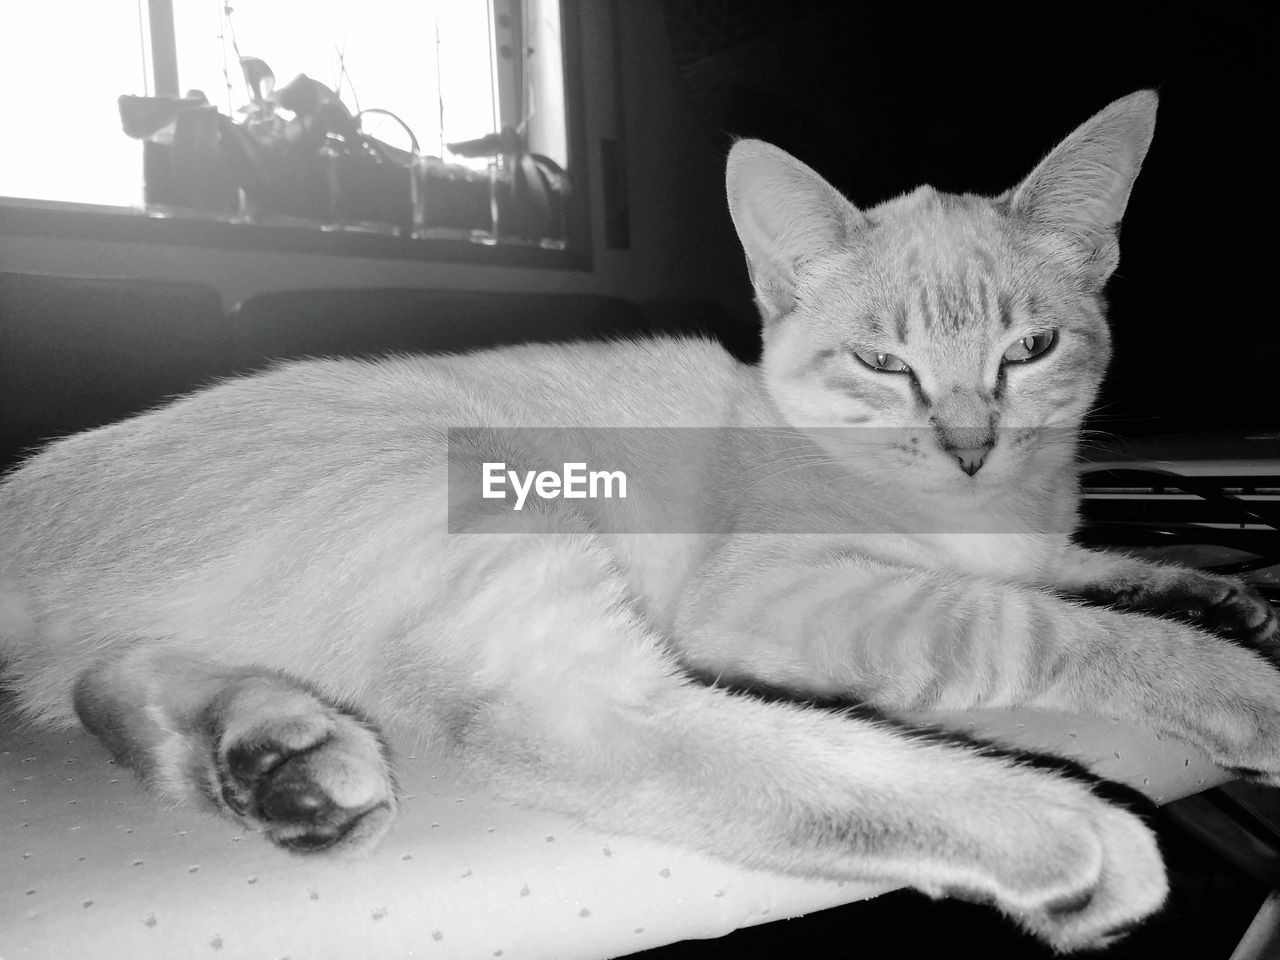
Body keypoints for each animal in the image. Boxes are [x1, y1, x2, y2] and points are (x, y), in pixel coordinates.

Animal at [0, 92, 1274, 957]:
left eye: (1030, 347)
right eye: (881, 363)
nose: (968, 445)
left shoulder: (1031, 539)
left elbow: (1085, 568)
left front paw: (1218, 594)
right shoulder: (783, 593)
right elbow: (1025, 625)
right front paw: (1229, 679)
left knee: (110, 688)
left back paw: (275, 764)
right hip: (487, 520)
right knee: (586, 728)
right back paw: (1059, 829)